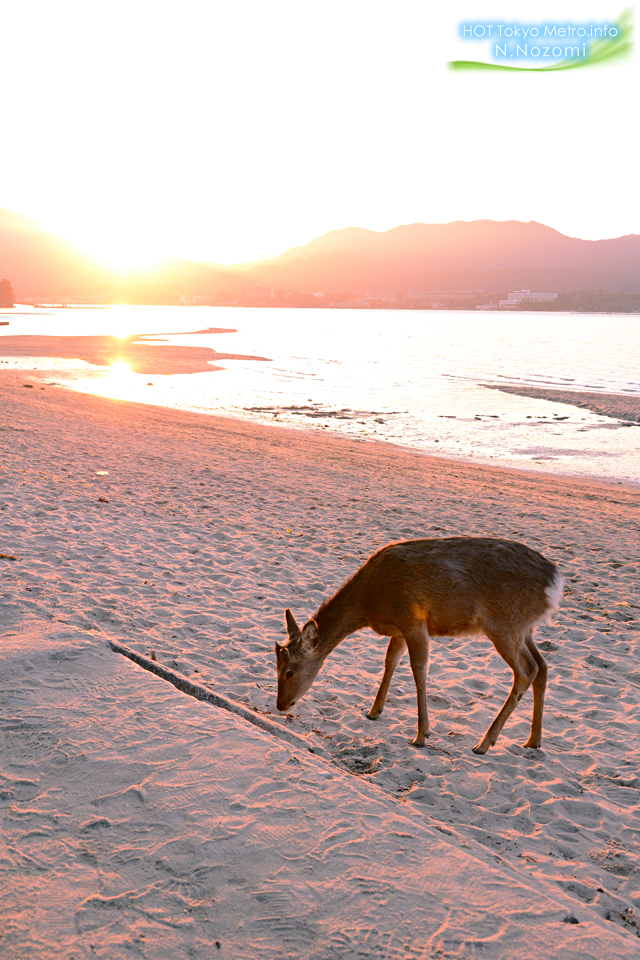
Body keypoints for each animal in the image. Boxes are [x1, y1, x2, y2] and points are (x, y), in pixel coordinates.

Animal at [272, 540, 564, 752]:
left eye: (289, 672)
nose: (280, 705)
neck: (369, 603)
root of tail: (555, 583)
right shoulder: (400, 628)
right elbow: (390, 660)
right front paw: (373, 711)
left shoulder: (412, 619)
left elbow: (418, 669)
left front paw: (422, 735)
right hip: (525, 628)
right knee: (543, 666)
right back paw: (533, 740)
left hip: (505, 625)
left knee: (527, 670)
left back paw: (484, 743)